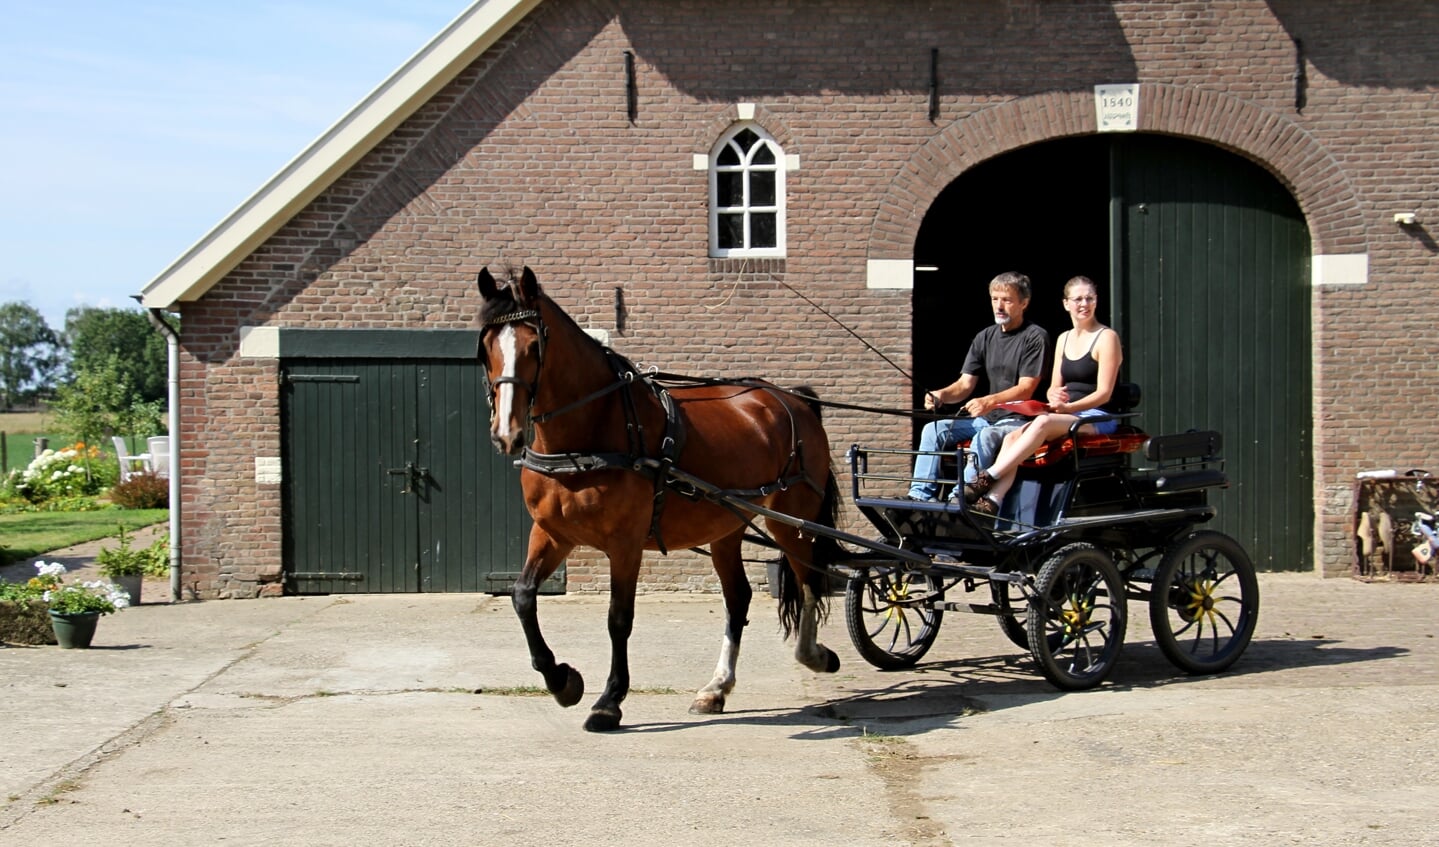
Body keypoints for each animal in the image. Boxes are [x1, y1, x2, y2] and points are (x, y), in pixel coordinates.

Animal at [477, 267, 840, 730]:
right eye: (486, 348)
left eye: (534, 345)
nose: (507, 434)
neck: (593, 429)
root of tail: (794, 399)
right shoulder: (552, 533)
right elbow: (522, 597)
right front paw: (563, 682)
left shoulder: (625, 543)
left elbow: (618, 619)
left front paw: (608, 701)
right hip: (726, 526)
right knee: (738, 597)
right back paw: (716, 688)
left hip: (793, 523)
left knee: (809, 581)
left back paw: (813, 655)